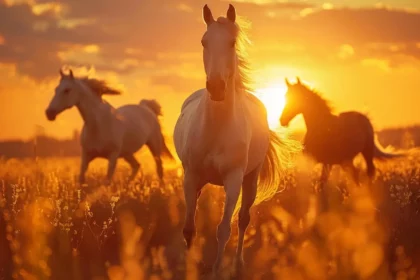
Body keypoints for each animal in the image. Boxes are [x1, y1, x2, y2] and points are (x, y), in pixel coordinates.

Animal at [44, 69, 172, 184]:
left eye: (67, 90)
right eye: (56, 89)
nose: (49, 113)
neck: (98, 125)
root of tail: (145, 106)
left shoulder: (113, 157)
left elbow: (107, 181)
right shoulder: (86, 156)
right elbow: (81, 179)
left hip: (154, 146)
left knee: (159, 168)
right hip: (127, 153)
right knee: (136, 166)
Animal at [174, 3, 302, 276]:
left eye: (232, 42)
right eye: (204, 42)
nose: (216, 87)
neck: (216, 128)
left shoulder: (233, 181)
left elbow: (224, 229)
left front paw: (215, 271)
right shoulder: (190, 176)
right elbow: (189, 228)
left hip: (250, 179)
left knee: (243, 219)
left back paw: (238, 265)